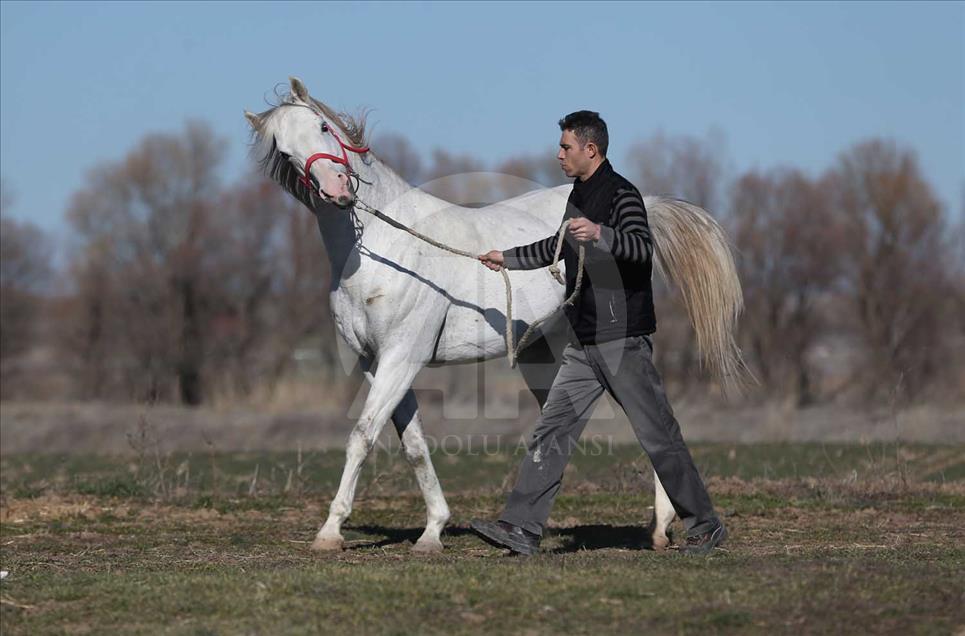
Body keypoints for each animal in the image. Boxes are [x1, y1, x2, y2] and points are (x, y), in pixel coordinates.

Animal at [244, 77, 745, 553]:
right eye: (285, 153)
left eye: (323, 128)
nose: (337, 190)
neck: (381, 249)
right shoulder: (377, 363)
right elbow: (414, 444)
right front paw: (433, 531)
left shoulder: (402, 357)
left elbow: (362, 436)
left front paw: (330, 533)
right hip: (549, 359)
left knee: (646, 424)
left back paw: (661, 528)